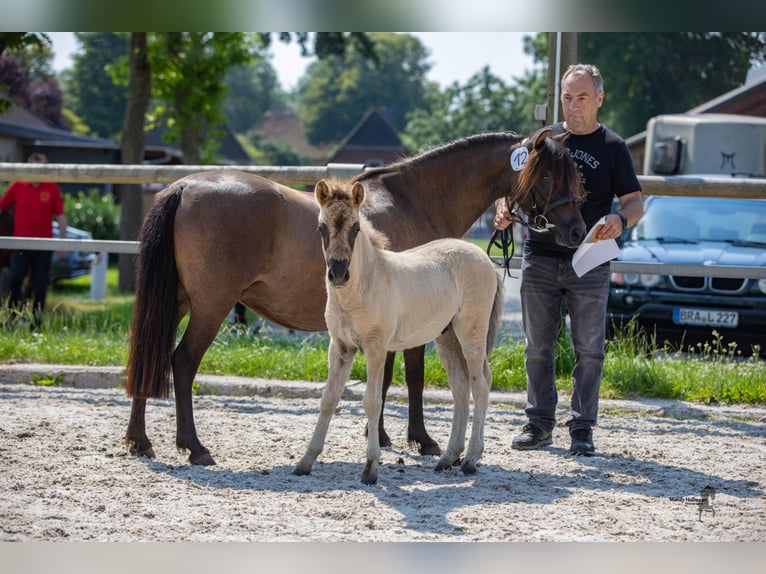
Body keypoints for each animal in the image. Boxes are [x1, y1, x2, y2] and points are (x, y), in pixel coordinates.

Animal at [294, 181, 504, 486]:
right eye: (321, 227)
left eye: (356, 228)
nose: (338, 272)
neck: (362, 287)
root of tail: (485, 258)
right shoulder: (341, 348)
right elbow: (328, 400)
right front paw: (305, 462)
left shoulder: (376, 347)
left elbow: (372, 402)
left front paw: (370, 468)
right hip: (447, 336)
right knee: (460, 387)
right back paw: (447, 458)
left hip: (471, 332)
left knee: (481, 384)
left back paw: (471, 461)